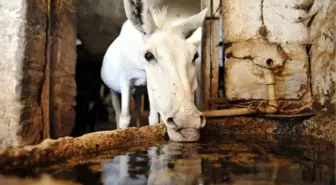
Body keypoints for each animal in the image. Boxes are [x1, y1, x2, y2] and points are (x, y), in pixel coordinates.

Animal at [100, 0, 207, 142]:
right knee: (119, 114)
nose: (188, 125)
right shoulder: (126, 82)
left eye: (195, 55)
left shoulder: (147, 89)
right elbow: (124, 118)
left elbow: (154, 120)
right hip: (114, 91)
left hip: (139, 93)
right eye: (148, 55)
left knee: (137, 111)